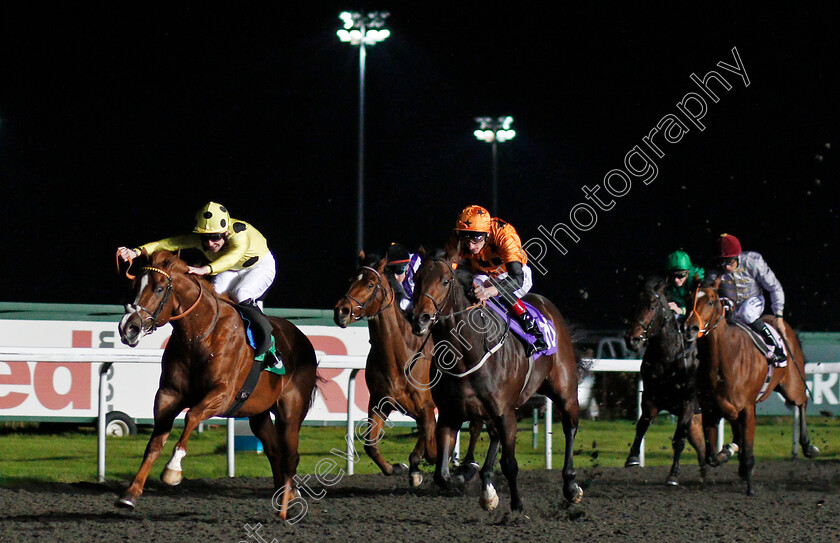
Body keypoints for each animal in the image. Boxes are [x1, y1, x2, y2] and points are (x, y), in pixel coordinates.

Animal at [115, 251, 318, 520]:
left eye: (159, 288)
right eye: (134, 287)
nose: (129, 328)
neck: (199, 335)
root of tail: (304, 339)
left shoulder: (223, 393)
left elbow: (192, 415)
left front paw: (173, 470)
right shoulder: (169, 394)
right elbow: (155, 442)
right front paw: (130, 493)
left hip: (291, 412)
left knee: (290, 456)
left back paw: (286, 509)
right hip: (259, 413)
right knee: (275, 452)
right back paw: (284, 499)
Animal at [332, 255, 482, 488]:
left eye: (370, 284)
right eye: (350, 280)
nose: (341, 311)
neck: (401, 357)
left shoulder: (427, 407)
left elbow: (431, 446)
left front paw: (424, 466)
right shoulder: (379, 403)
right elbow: (370, 445)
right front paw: (398, 467)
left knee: (475, 426)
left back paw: (469, 465)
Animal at [408, 249, 584, 512]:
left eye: (445, 281)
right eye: (417, 278)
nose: (421, 318)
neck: (466, 355)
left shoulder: (505, 413)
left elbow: (510, 464)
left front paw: (517, 506)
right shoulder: (450, 415)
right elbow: (442, 475)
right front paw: (476, 481)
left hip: (564, 389)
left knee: (570, 425)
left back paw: (571, 486)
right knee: (493, 436)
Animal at [628, 278, 704, 486]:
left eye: (653, 306)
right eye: (635, 305)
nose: (632, 339)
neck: (668, 357)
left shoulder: (687, 403)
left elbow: (679, 440)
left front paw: (673, 475)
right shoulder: (651, 397)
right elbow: (642, 424)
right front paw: (633, 457)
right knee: (701, 445)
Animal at [684, 286, 816, 496]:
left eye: (711, 302)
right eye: (689, 299)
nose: (690, 328)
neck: (723, 359)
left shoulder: (746, 408)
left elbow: (747, 449)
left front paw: (750, 488)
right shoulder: (711, 410)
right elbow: (712, 456)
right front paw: (726, 453)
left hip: (792, 385)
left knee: (802, 402)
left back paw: (808, 446)